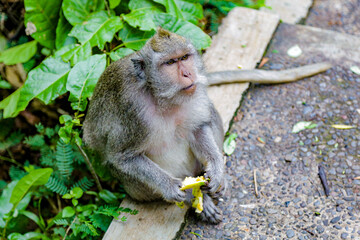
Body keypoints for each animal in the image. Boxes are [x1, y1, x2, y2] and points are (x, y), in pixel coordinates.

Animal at [83, 27, 330, 222]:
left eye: (184, 57)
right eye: (170, 63)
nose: (187, 73)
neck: (161, 97)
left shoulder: (195, 95)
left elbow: (199, 127)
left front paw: (217, 169)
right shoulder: (132, 111)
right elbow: (122, 157)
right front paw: (172, 188)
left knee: (209, 113)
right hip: (136, 189)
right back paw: (195, 199)